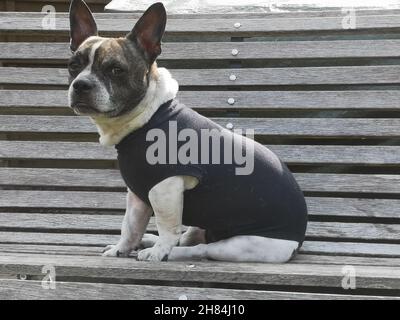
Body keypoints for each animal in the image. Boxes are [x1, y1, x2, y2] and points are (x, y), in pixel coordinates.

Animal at [68, 0, 306, 262]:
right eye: (73, 66)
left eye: (115, 70)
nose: (81, 84)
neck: (148, 116)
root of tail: (296, 244)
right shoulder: (138, 194)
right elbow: (130, 225)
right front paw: (123, 248)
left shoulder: (165, 189)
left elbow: (167, 226)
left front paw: (159, 252)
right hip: (201, 227)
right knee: (189, 237)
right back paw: (148, 240)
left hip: (239, 245)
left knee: (200, 248)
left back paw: (165, 251)